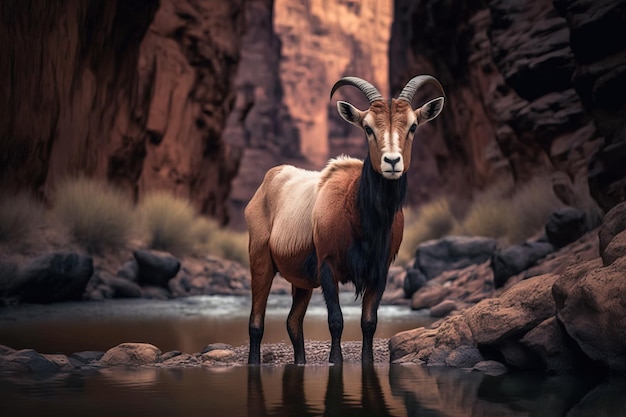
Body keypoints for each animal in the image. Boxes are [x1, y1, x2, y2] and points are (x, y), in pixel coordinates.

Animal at [244, 75, 444, 364]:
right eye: (368, 127)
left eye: (413, 126)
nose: (392, 161)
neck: (358, 211)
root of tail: (270, 179)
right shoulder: (328, 267)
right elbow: (336, 321)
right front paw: (335, 360)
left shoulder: (379, 271)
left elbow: (369, 322)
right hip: (261, 262)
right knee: (256, 323)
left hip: (301, 282)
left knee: (293, 322)